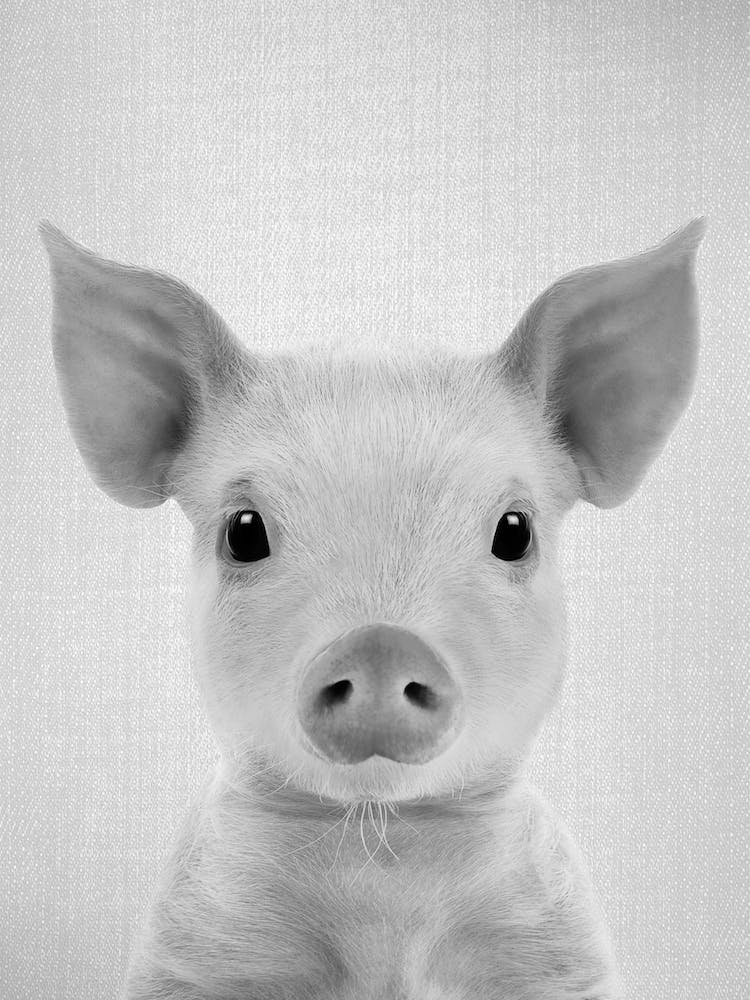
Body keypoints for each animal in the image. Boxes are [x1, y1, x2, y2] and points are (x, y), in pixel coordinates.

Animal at [40, 216, 706, 1000]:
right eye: (244, 531)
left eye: (514, 531)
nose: (381, 645)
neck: (381, 854)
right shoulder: (190, 947)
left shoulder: (558, 951)